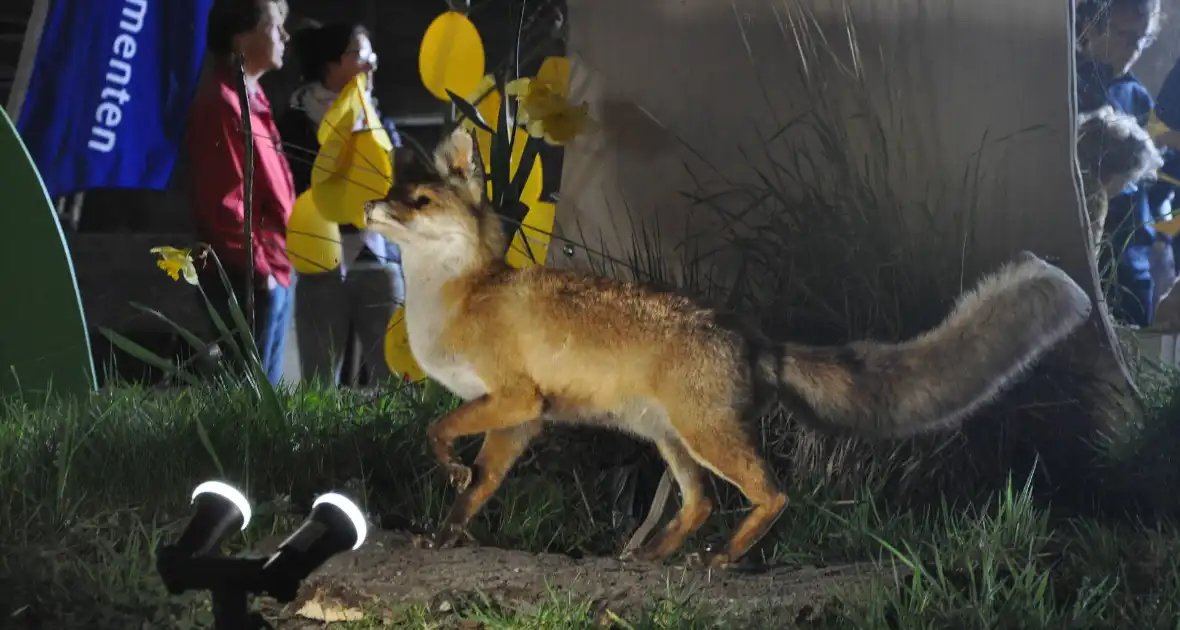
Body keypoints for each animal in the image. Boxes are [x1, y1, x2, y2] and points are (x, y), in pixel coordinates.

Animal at [365, 126, 1095, 571]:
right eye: (392, 195)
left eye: (419, 202)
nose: (370, 209)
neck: (459, 298)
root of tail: (750, 333)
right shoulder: (519, 418)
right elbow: (475, 489)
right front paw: (446, 532)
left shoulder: (515, 397)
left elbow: (438, 431)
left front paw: (448, 473)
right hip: (672, 440)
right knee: (702, 504)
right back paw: (653, 556)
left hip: (705, 437)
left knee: (771, 494)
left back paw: (719, 560)